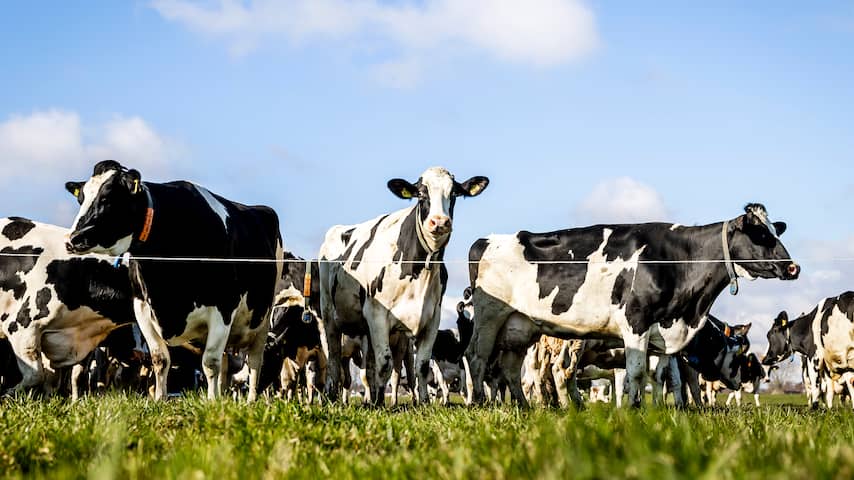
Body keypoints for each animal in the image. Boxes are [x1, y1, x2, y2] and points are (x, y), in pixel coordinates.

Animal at [65, 161, 284, 402]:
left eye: (107, 198)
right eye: (81, 198)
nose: (73, 239)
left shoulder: (224, 307)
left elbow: (210, 363)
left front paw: (211, 402)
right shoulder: (142, 307)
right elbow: (160, 359)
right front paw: (159, 400)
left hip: (263, 318)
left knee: (254, 361)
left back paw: (250, 400)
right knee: (226, 362)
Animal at [318, 167, 488, 404]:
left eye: (453, 193)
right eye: (421, 194)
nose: (439, 222)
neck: (419, 270)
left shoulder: (431, 319)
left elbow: (421, 366)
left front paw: (424, 402)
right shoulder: (377, 314)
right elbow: (384, 364)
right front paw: (378, 403)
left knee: (369, 366)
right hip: (329, 313)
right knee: (334, 357)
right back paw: (333, 395)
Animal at [464, 202, 800, 404]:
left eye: (774, 230)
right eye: (760, 234)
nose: (793, 268)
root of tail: (486, 240)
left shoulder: (663, 334)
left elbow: (660, 377)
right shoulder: (636, 323)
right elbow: (637, 374)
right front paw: (631, 412)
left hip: (520, 328)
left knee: (510, 370)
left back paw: (524, 408)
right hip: (491, 318)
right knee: (477, 358)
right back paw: (479, 404)